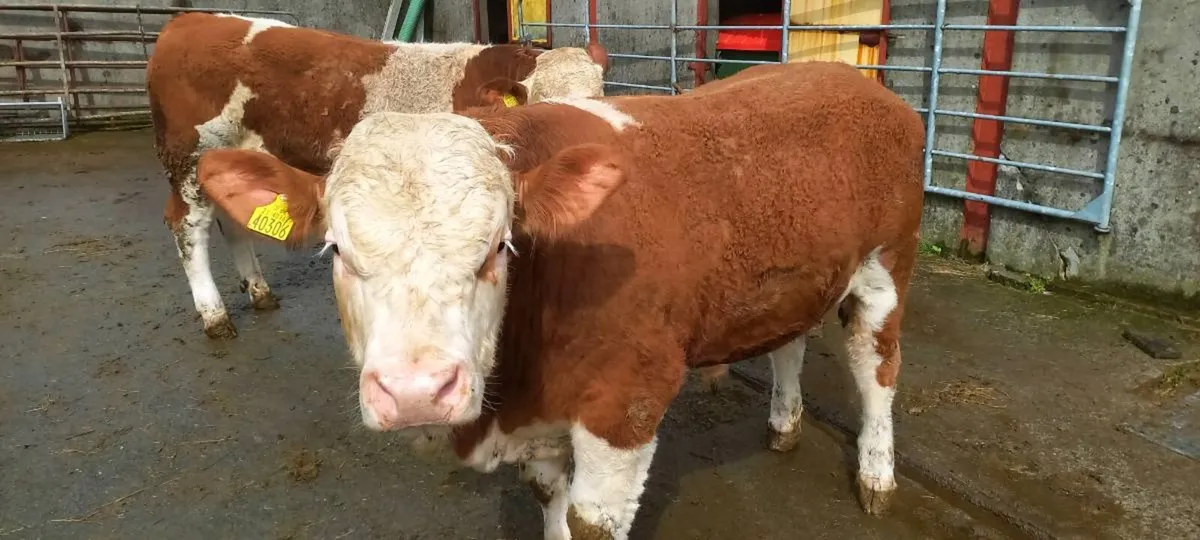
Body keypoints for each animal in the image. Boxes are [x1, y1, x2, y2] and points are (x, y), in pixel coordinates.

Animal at [147, 12, 609, 339]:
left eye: (600, 97)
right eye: (544, 105)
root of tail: (188, 20)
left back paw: (259, 290)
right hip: (188, 156)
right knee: (187, 227)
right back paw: (214, 314)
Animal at [194, 61, 926, 539]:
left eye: (498, 247)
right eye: (338, 250)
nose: (415, 392)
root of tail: (851, 76)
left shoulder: (627, 401)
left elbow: (588, 520)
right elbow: (548, 495)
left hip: (886, 266)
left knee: (877, 368)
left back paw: (876, 476)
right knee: (789, 343)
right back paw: (783, 423)